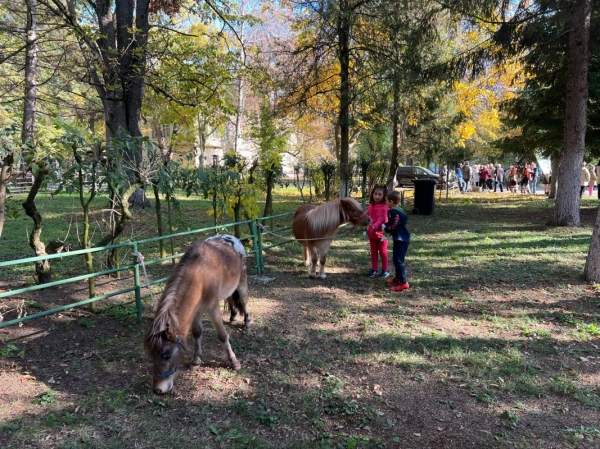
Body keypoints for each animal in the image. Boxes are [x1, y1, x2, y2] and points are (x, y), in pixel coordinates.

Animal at [146, 234, 250, 392]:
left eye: (166, 355)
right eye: (151, 355)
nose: (158, 389)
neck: (200, 274)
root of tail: (232, 238)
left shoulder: (212, 308)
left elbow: (222, 335)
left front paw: (234, 361)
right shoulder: (196, 310)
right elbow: (197, 332)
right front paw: (196, 360)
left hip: (241, 282)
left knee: (243, 302)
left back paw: (247, 322)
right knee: (230, 299)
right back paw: (232, 316)